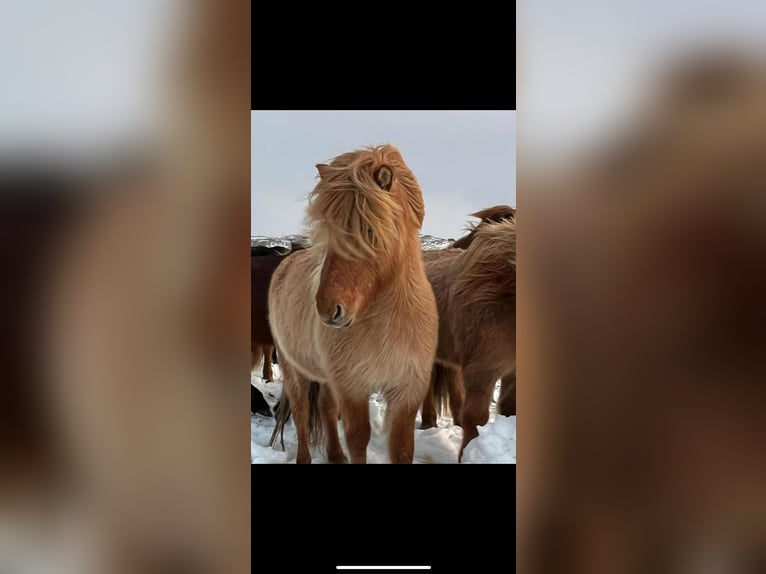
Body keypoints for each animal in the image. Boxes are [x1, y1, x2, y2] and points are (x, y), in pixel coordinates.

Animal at [268, 144, 439, 464]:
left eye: (370, 231)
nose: (327, 309)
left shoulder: (406, 392)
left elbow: (401, 448)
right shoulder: (353, 387)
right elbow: (357, 439)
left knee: (324, 406)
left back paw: (336, 456)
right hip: (294, 370)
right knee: (301, 412)